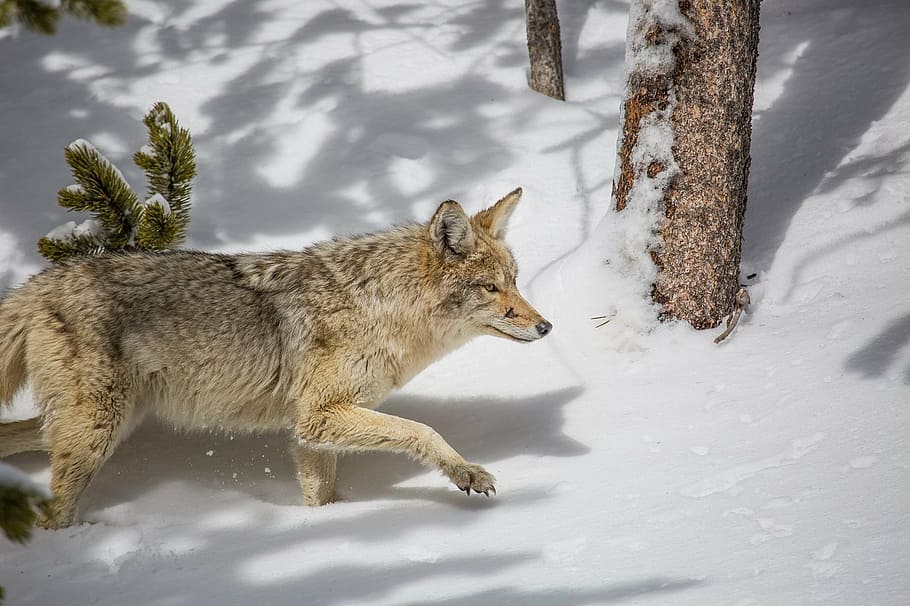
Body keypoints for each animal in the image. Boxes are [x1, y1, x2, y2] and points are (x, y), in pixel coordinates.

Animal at [0, 188, 551, 528]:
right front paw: (466, 473)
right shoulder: (319, 414)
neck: (378, 305)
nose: (546, 327)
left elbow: (321, 495)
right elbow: (422, 430)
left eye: (515, 282)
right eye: (491, 288)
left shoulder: (311, 431)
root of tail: (35, 286)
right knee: (53, 516)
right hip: (97, 432)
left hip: (99, 425)